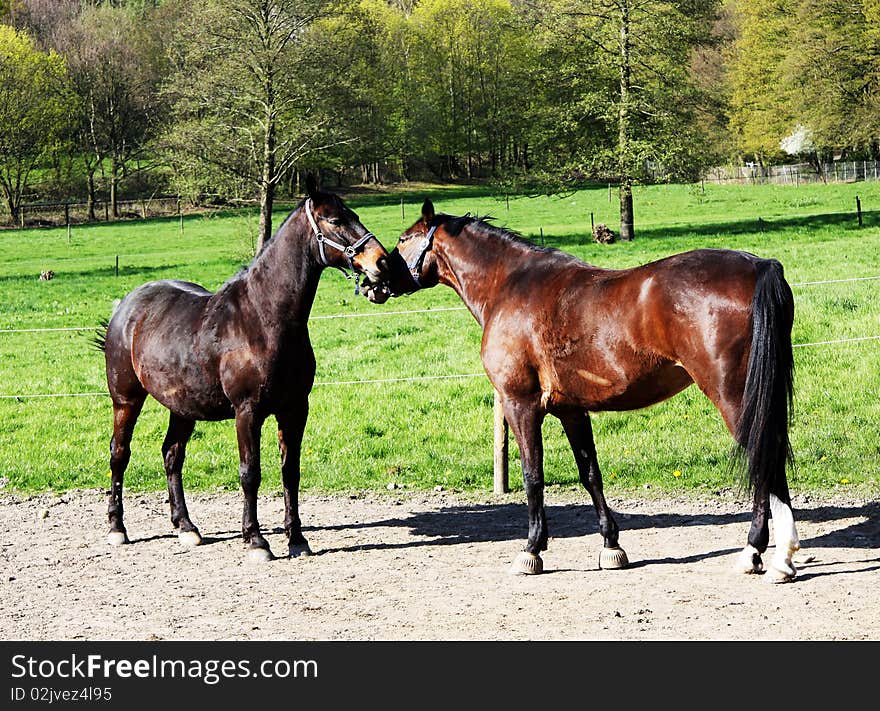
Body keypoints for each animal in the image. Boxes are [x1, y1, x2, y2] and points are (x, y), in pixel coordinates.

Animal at [94, 177, 390, 560]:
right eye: (335, 220)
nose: (382, 262)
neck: (263, 319)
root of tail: (126, 306)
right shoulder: (247, 412)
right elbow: (251, 472)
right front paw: (256, 540)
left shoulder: (295, 409)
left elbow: (290, 471)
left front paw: (297, 539)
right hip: (126, 400)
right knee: (119, 454)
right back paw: (117, 528)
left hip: (182, 407)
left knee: (172, 455)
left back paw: (186, 527)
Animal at [364, 200, 796, 584]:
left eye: (403, 239)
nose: (373, 281)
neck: (509, 285)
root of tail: (760, 266)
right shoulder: (571, 410)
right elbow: (591, 474)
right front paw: (611, 546)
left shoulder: (520, 405)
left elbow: (533, 475)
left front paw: (532, 549)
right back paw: (781, 555)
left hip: (734, 397)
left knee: (764, 458)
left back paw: (759, 553)